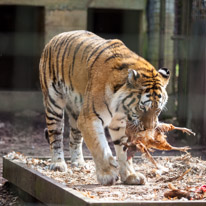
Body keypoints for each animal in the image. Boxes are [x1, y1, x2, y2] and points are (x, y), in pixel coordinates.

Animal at [39, 29, 170, 186]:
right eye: (142, 109)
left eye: (158, 110)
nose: (148, 129)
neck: (122, 110)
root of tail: (56, 37)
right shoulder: (89, 119)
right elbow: (99, 147)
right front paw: (108, 175)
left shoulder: (119, 124)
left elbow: (123, 150)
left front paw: (130, 175)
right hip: (54, 104)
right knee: (56, 135)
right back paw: (58, 164)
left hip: (76, 111)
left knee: (74, 138)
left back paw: (79, 163)